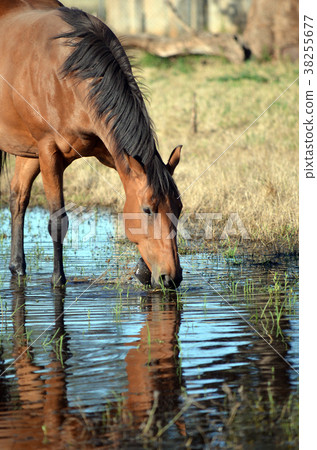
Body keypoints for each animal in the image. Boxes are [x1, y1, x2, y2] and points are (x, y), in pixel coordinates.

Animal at [0, 3, 183, 288]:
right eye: (147, 210)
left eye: (179, 208)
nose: (172, 278)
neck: (66, 74)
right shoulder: (48, 152)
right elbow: (58, 220)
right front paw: (58, 280)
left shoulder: (109, 151)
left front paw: (144, 270)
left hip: (27, 152)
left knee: (18, 198)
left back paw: (18, 267)